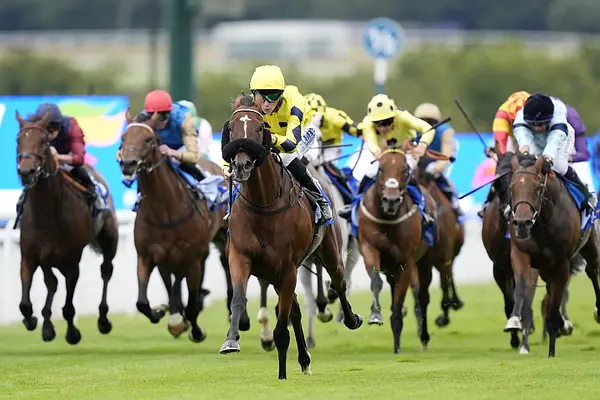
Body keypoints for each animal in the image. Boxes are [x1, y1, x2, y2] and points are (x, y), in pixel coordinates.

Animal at [15, 111, 118, 344]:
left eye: (43, 142)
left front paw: (72, 333)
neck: (47, 213)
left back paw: (103, 319)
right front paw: (34, 321)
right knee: (52, 282)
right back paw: (46, 324)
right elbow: (26, 302)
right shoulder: (31, 256)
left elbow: (69, 304)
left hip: (109, 239)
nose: (26, 172)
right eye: (18, 141)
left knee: (106, 271)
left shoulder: (72, 260)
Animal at [118, 111, 221, 342]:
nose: (128, 164)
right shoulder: (147, 256)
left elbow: (190, 303)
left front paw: (195, 329)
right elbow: (141, 303)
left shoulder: (190, 257)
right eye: (123, 138)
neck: (163, 211)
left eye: (149, 140)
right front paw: (160, 312)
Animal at [220, 94, 362, 380]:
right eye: (232, 127)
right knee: (295, 307)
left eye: (259, 128)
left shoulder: (287, 269)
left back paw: (350, 319)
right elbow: (240, 299)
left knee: (339, 282)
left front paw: (282, 373)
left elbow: (282, 327)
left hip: (329, 253)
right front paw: (231, 339)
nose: (240, 166)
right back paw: (304, 358)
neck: (263, 206)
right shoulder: (241, 258)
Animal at [358, 142, 439, 353]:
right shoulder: (369, 247)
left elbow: (399, 303)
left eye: (404, 170)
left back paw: (423, 336)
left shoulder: (406, 262)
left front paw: (397, 345)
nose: (391, 200)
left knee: (421, 296)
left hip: (424, 261)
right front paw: (375, 314)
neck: (388, 219)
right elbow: (375, 281)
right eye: (381, 168)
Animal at [508, 153, 600, 357]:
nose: (522, 223)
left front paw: (551, 352)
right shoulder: (520, 252)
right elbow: (521, 288)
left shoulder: (562, 262)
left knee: (593, 270)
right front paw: (514, 320)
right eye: (511, 187)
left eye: (537, 187)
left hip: (590, 244)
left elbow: (553, 305)